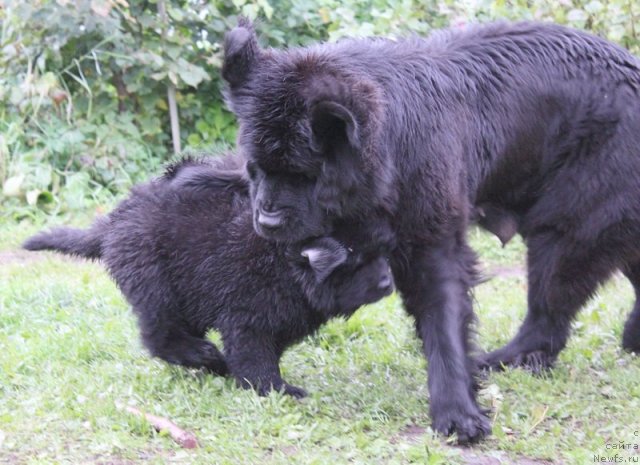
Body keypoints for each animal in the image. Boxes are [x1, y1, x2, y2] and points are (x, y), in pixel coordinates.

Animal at [23, 155, 396, 396]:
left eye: (378, 250)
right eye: (354, 258)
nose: (389, 281)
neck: (286, 266)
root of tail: (112, 224)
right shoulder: (246, 320)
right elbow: (256, 361)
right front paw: (278, 390)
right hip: (155, 285)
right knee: (158, 336)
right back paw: (209, 358)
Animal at [222, 20, 640, 442]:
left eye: (304, 175)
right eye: (255, 168)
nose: (268, 222)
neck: (388, 154)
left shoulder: (432, 237)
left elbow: (444, 322)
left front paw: (458, 413)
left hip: (572, 222)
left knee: (550, 302)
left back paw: (509, 357)